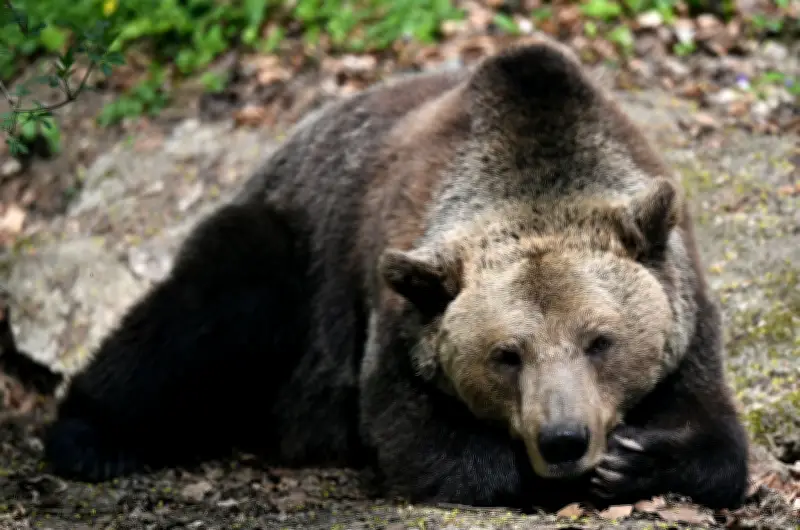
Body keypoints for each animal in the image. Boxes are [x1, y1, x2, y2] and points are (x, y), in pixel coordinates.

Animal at [42, 40, 749, 512]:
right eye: (506, 354)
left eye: (601, 340)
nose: (564, 440)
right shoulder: (395, 316)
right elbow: (420, 441)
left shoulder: (685, 311)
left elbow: (719, 440)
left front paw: (636, 459)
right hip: (293, 251)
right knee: (209, 312)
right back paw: (89, 437)